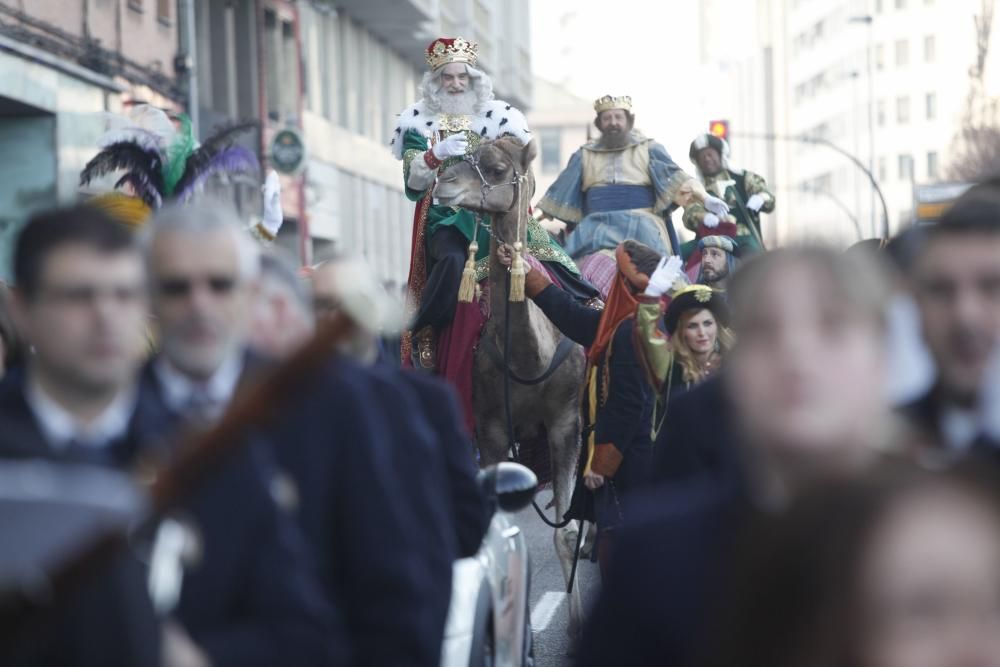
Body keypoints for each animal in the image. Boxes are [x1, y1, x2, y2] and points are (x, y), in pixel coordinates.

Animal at [436, 137, 584, 636]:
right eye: (455, 160)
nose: (443, 183)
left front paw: (577, 623)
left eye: (498, 168)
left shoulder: (565, 423)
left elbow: (568, 532)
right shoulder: (491, 428)